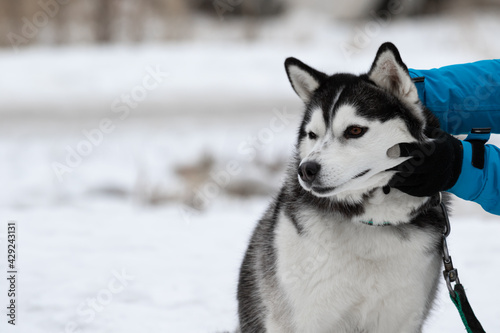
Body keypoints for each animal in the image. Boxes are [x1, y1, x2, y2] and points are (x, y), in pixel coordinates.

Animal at [236, 42, 448, 332]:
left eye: (355, 130)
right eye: (312, 135)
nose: (306, 169)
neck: (369, 223)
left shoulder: (401, 318)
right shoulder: (307, 318)